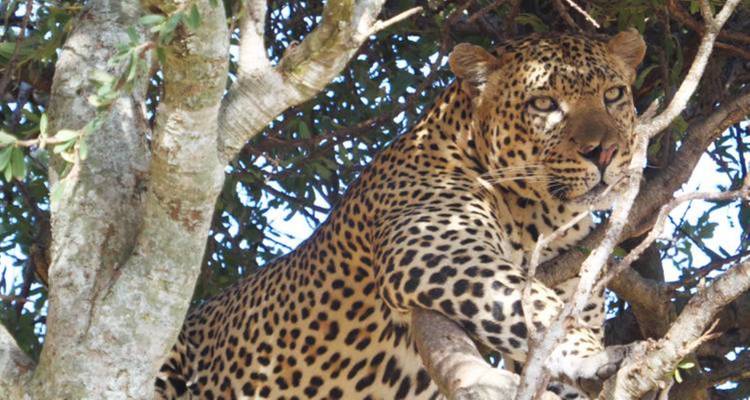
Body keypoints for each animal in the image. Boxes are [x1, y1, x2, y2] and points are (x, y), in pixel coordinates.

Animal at [155, 30, 647, 400]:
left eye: (614, 95)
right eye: (544, 104)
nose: (604, 152)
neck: (545, 217)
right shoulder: (437, 249)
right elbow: (541, 311)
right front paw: (597, 355)